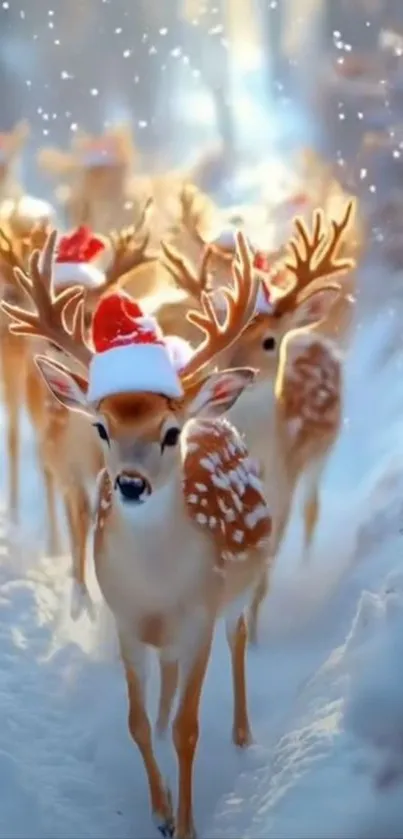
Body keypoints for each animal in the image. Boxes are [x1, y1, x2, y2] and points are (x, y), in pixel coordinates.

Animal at [1, 228, 343, 838]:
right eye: (102, 427)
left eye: (170, 432)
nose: (131, 484)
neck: (158, 588)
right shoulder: (126, 622)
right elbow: (136, 722)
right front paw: (159, 809)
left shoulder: (200, 618)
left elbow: (190, 729)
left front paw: (186, 824)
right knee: (164, 683)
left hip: (233, 596)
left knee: (237, 639)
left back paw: (243, 736)